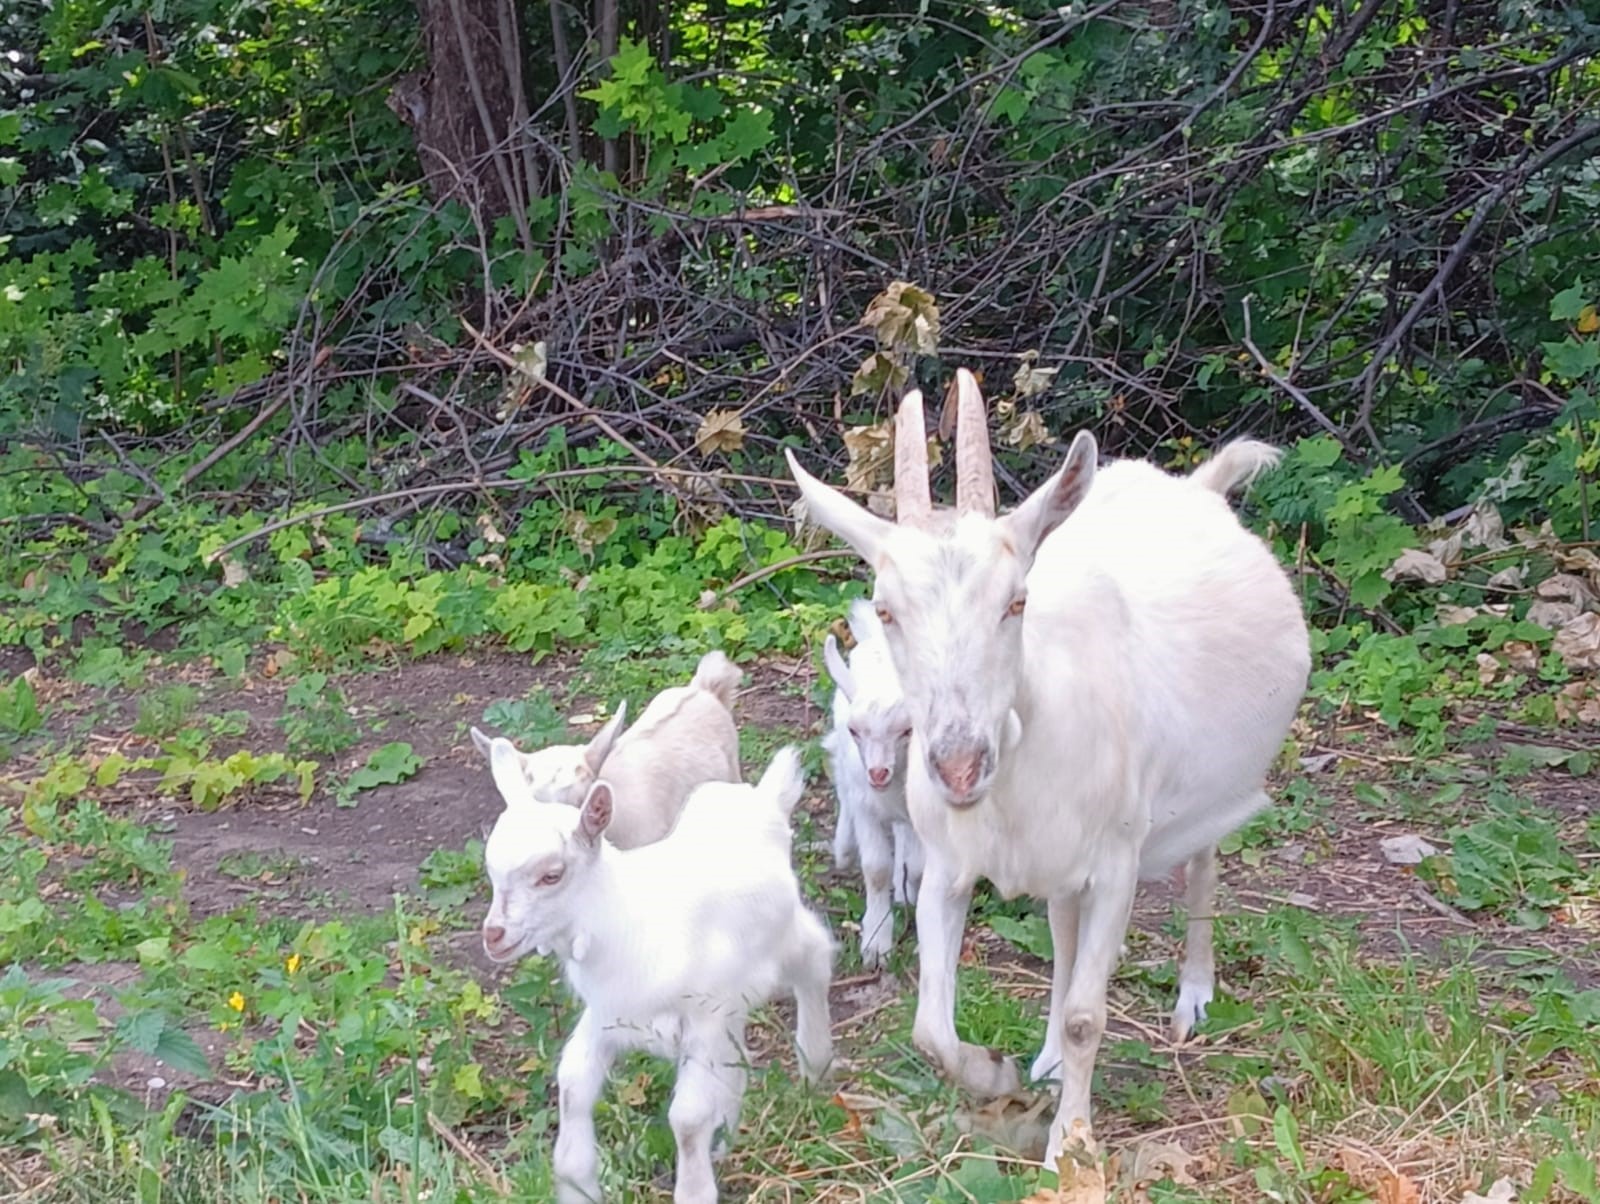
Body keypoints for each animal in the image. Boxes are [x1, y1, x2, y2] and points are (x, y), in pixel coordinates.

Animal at [825, 598, 928, 967]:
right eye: (856, 730)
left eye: (907, 730)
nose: (879, 773)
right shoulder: (866, 804)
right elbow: (876, 869)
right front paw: (875, 943)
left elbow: (917, 865)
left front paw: (908, 892)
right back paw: (843, 848)